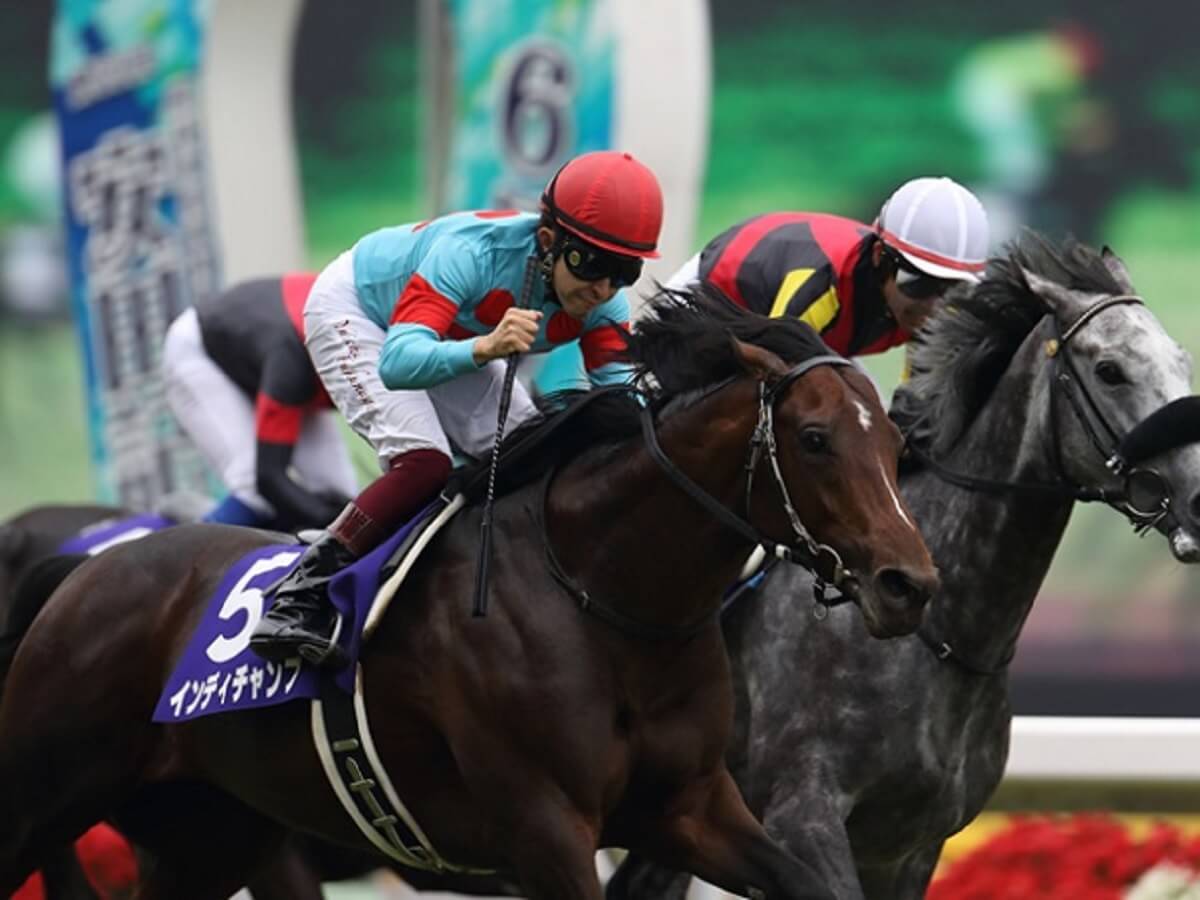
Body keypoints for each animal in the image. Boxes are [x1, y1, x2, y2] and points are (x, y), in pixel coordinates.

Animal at [0, 290, 938, 900]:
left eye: (896, 442)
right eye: (813, 439)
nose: (911, 584)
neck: (602, 597)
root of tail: (89, 568)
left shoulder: (694, 808)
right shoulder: (546, 830)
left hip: (208, 834)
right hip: (47, 790)